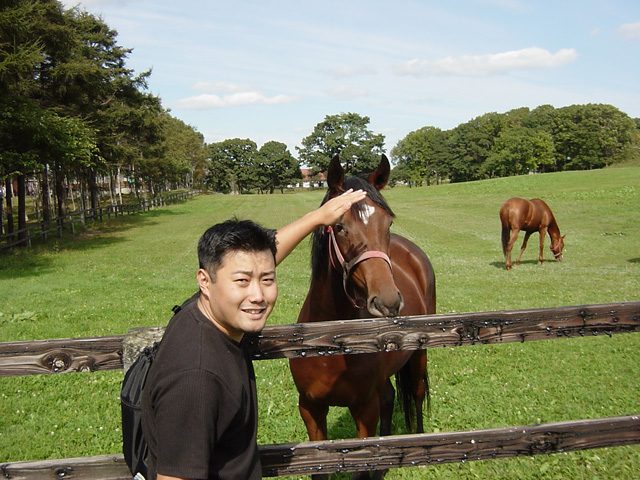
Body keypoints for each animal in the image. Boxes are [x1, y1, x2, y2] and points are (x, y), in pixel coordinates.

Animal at [288, 155, 436, 480]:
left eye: (388, 222)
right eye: (339, 226)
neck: (331, 341)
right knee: (390, 396)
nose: (389, 301)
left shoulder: (364, 410)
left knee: (416, 392)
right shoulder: (311, 409)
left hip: (419, 354)